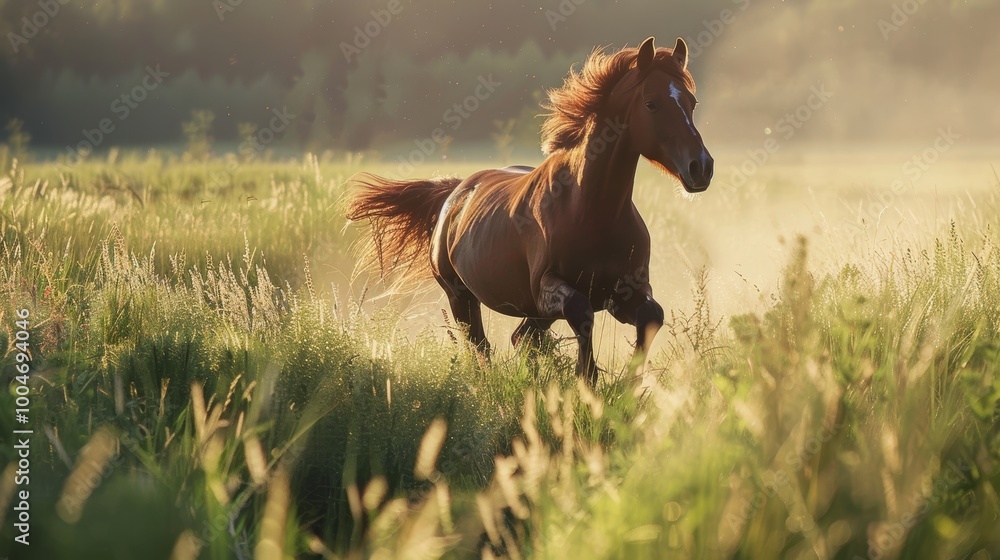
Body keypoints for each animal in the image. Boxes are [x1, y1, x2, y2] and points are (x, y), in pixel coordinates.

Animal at [346, 36, 713, 384]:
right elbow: (581, 312)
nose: (701, 168)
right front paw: (587, 380)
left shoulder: (624, 293)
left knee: (520, 339)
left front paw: (627, 387)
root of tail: (455, 192)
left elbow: (652, 316)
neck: (591, 211)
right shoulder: (548, 289)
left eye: (692, 102)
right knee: (481, 348)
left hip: (531, 312)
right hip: (461, 296)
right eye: (651, 103)